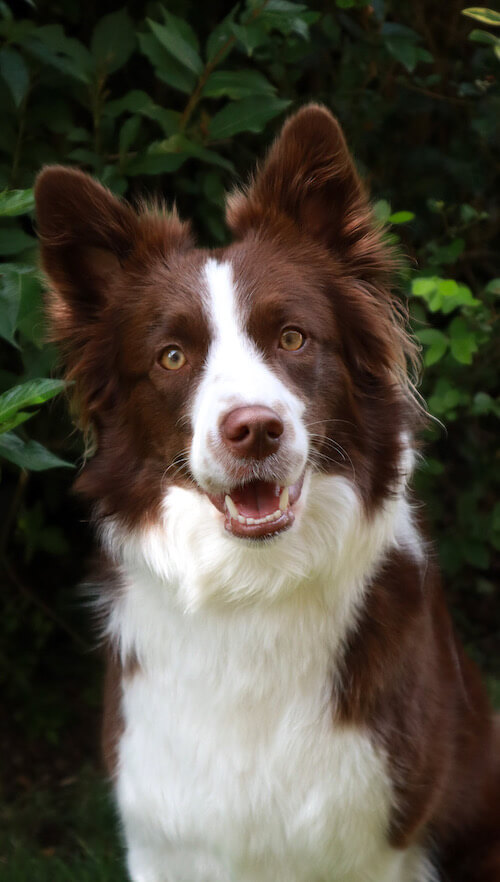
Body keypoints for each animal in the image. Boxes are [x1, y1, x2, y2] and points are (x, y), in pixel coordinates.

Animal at [36, 105, 500, 880]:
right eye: (171, 356)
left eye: (292, 338)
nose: (252, 430)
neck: (253, 587)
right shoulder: (161, 834)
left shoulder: (377, 839)